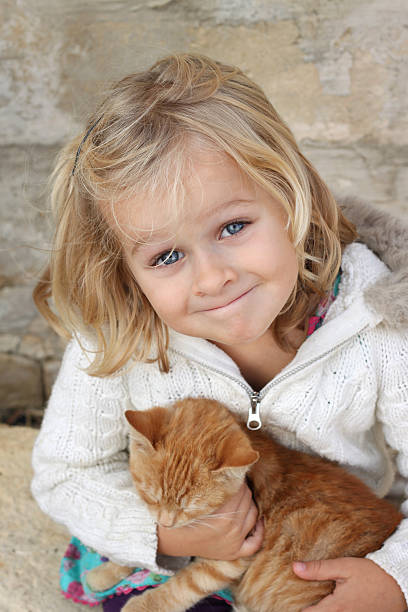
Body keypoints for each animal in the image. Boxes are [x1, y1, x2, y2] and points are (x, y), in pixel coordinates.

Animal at [86, 396, 402, 612]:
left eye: (190, 507)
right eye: (149, 495)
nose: (166, 523)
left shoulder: (231, 558)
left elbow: (183, 585)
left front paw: (144, 604)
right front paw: (106, 572)